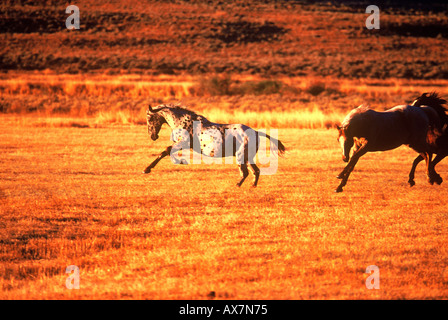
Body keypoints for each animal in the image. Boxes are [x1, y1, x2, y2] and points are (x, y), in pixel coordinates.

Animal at [142, 104, 286, 186]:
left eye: (149, 118)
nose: (152, 136)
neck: (184, 121)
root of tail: (255, 132)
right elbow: (169, 152)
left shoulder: (183, 142)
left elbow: (165, 151)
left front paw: (147, 169)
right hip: (247, 157)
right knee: (255, 171)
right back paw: (252, 186)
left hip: (241, 156)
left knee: (245, 172)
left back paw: (237, 185)